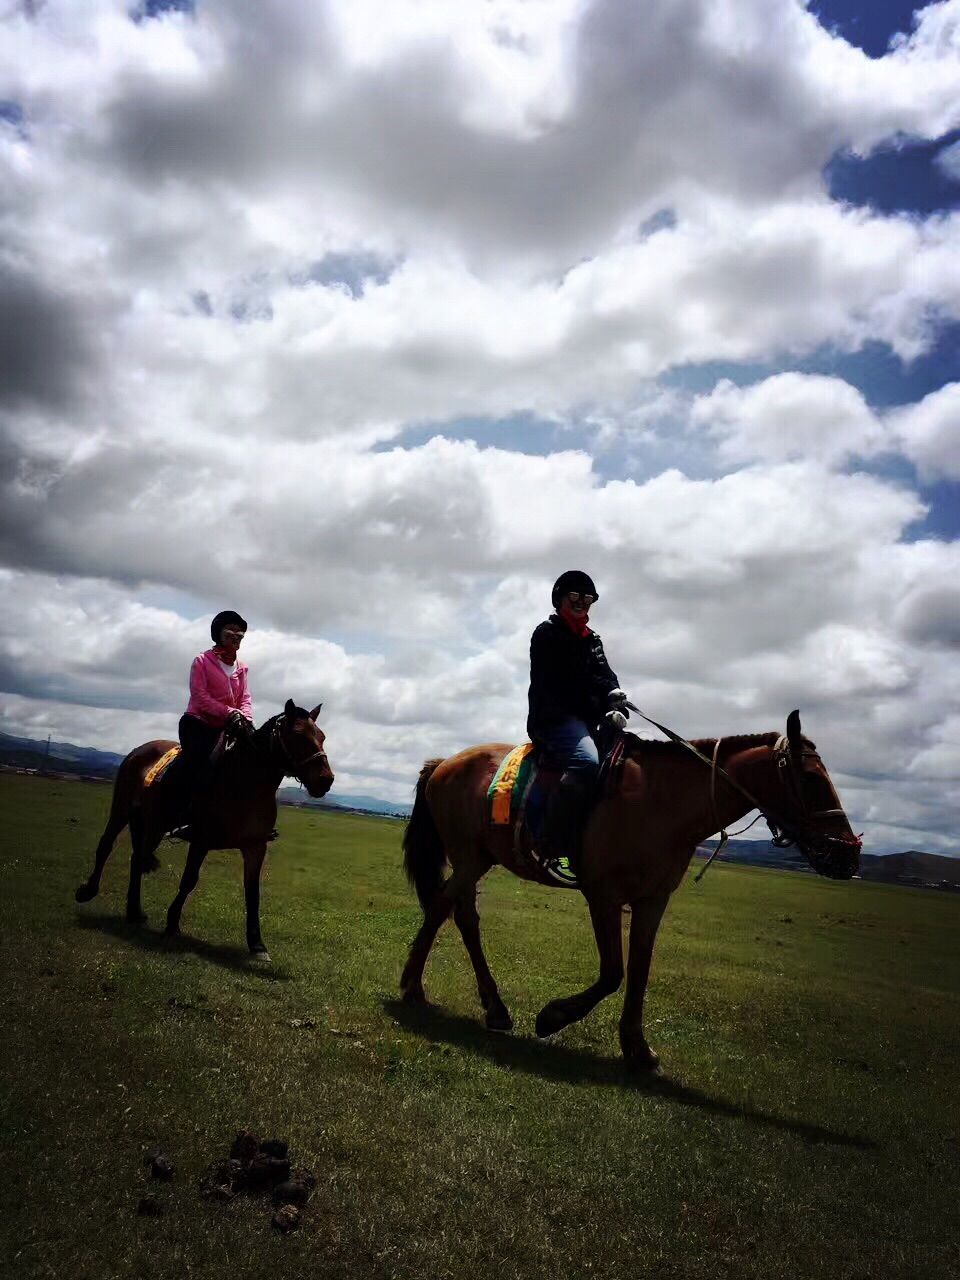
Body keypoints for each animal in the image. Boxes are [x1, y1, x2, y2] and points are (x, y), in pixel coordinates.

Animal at [74, 701, 335, 962]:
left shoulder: (255, 846)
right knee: (106, 846)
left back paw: (134, 912)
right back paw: (88, 891)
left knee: (137, 858)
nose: (326, 780)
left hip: (155, 825)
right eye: (299, 736)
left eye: (321, 736)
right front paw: (172, 924)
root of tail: (140, 749)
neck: (245, 782)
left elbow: (253, 893)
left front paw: (257, 944)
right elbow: (189, 880)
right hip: (122, 810)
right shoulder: (201, 839)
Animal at [401, 711, 860, 1070]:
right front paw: (553, 1017)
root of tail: (444, 763)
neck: (664, 803)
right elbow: (612, 972)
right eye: (812, 780)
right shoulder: (604, 895)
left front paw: (637, 1047)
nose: (849, 855)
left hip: (477, 860)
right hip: (469, 858)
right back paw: (413, 988)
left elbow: (639, 969)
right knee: (443, 908)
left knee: (462, 916)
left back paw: (492, 1007)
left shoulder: (653, 900)